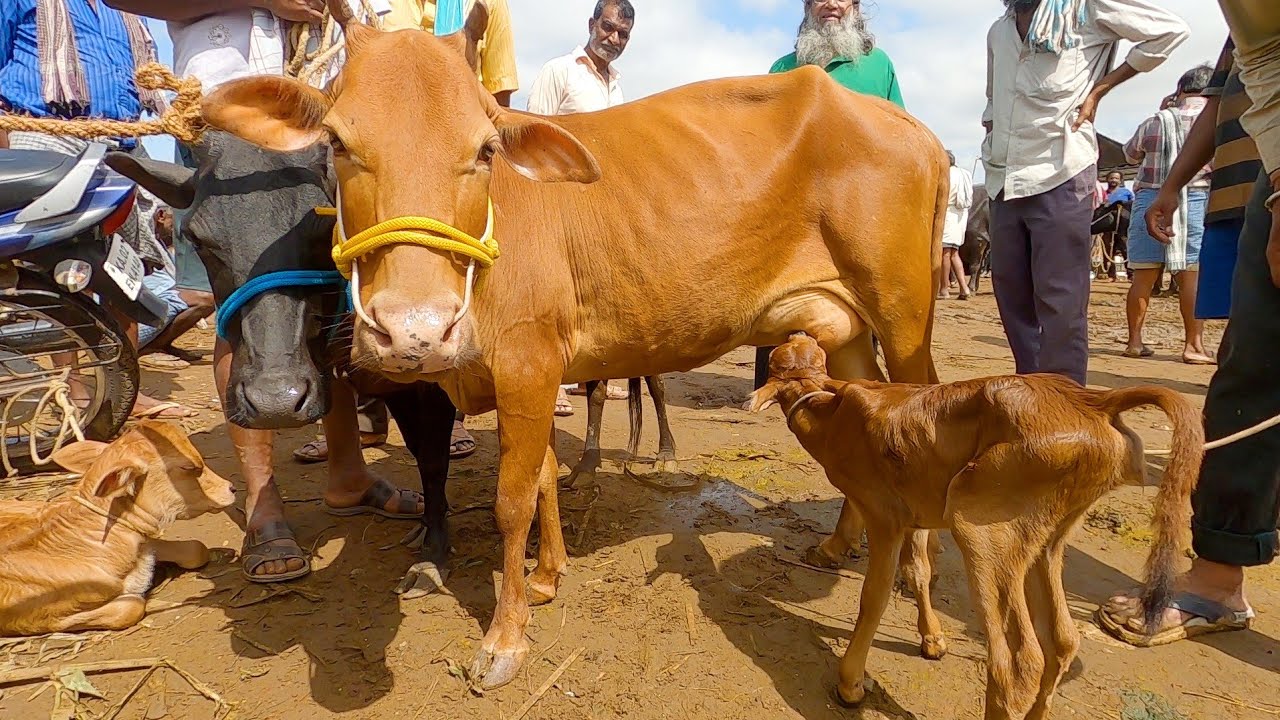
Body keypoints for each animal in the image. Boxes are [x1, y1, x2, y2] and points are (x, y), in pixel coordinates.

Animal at [201, 8, 947, 689]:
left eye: (485, 149)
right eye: (336, 142)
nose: (415, 329)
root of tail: (917, 131)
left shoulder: (529, 365)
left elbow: (513, 500)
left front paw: (505, 638)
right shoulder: (529, 373)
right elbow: (544, 481)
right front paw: (546, 577)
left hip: (903, 312)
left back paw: (922, 592)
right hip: (845, 326)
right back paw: (840, 543)